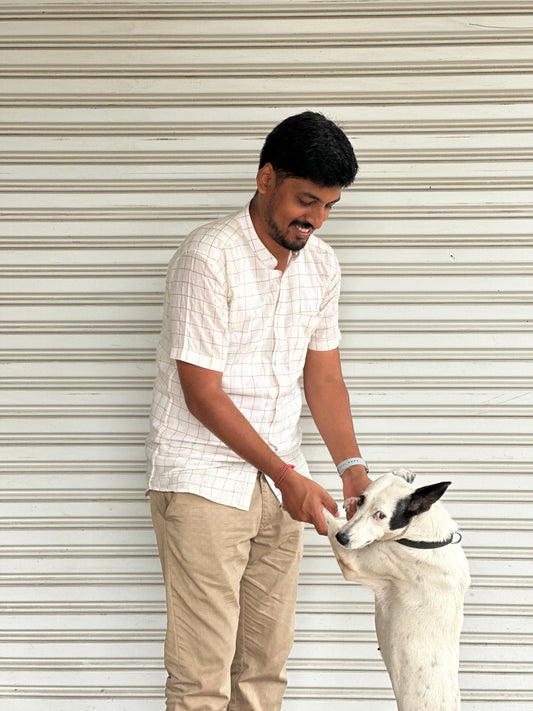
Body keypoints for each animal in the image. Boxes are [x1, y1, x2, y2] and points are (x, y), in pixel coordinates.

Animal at [324, 470, 470, 708]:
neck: (423, 537)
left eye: (380, 515)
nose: (341, 538)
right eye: (363, 500)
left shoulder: (352, 561)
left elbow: (327, 515)